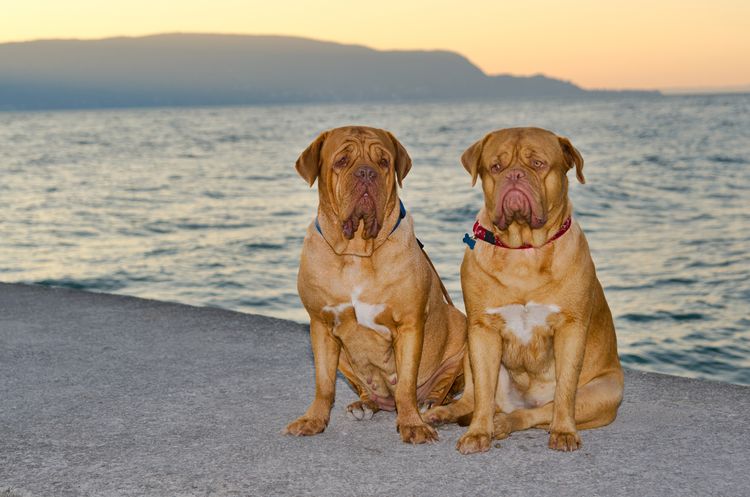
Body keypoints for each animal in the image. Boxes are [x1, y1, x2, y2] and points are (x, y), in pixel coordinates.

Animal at [284, 126, 468, 444]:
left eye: (383, 162)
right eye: (342, 160)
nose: (366, 173)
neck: (356, 252)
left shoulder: (409, 326)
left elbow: (406, 384)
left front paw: (412, 424)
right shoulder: (320, 325)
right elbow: (323, 383)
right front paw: (314, 419)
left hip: (462, 330)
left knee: (439, 385)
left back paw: (430, 403)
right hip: (344, 357)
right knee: (364, 388)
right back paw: (365, 403)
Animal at [426, 127, 624, 454]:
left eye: (538, 164)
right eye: (495, 166)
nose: (515, 175)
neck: (523, 250)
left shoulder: (571, 329)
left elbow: (565, 391)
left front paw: (564, 431)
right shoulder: (482, 330)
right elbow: (482, 392)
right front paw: (478, 433)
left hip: (606, 392)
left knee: (537, 412)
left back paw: (506, 424)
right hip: (469, 349)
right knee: (475, 398)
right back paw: (446, 413)